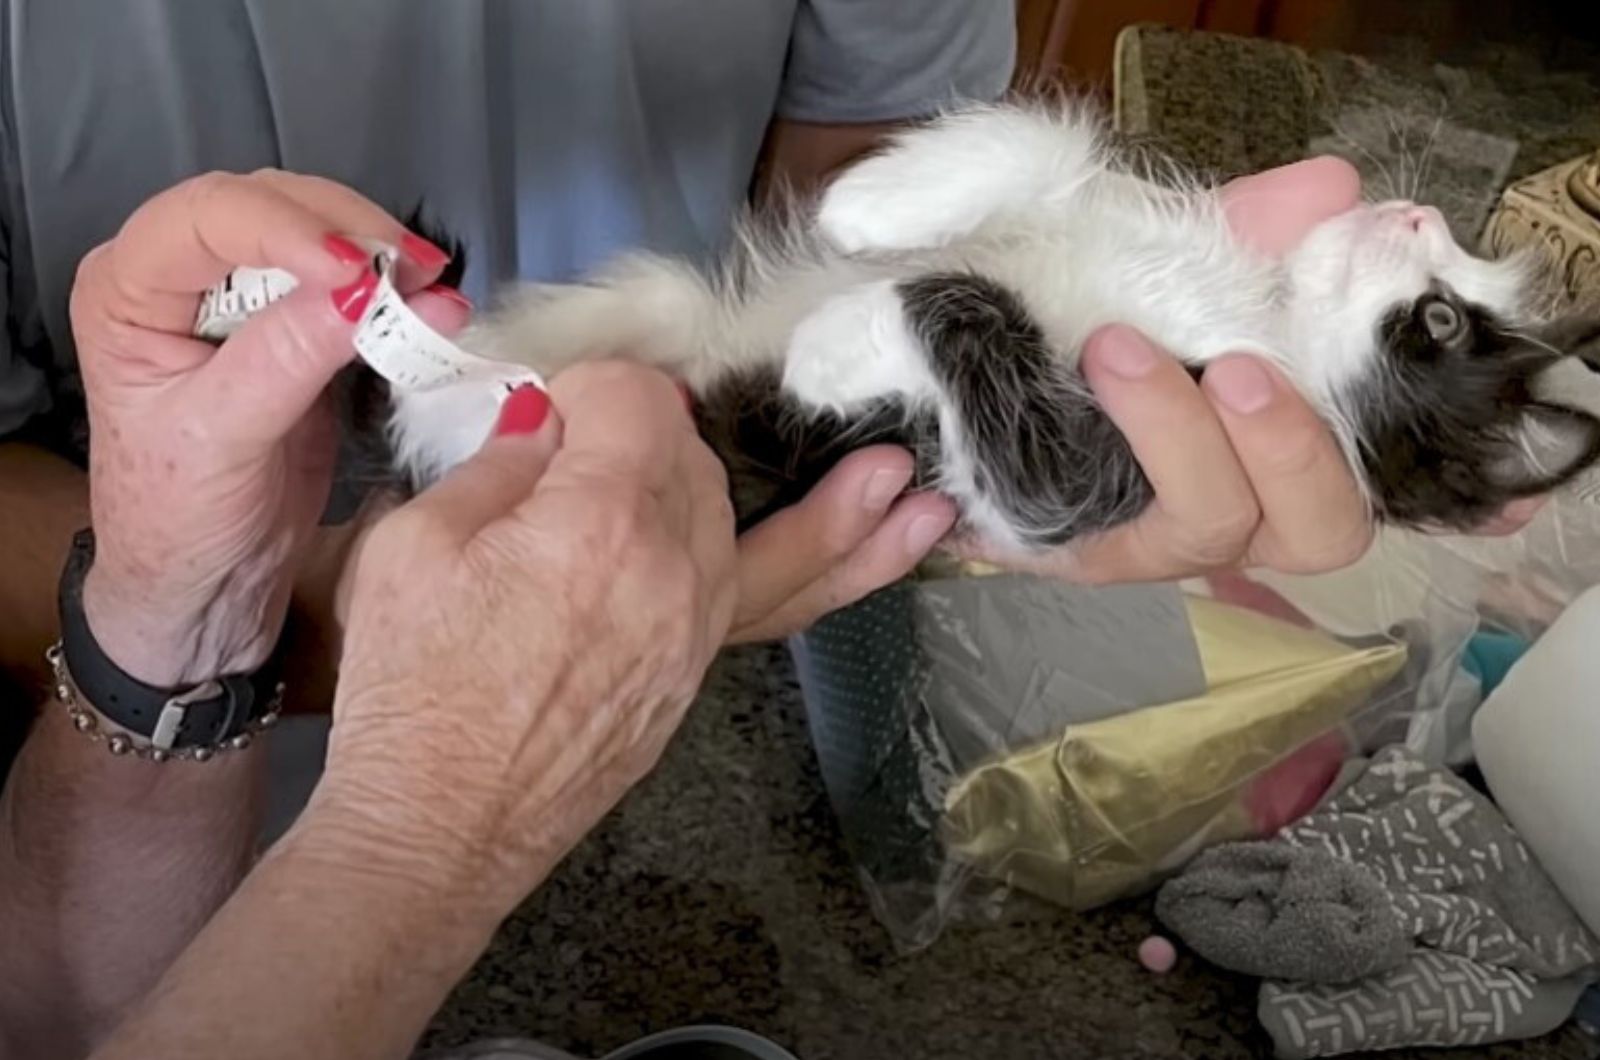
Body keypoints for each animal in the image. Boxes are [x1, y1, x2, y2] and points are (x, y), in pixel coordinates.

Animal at [377, 102, 1600, 550]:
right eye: (1449, 282)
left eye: (1442, 319)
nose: (1416, 211)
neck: (1256, 314)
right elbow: (1044, 148)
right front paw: (871, 206)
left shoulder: (1090, 471)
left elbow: (977, 323)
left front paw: (838, 338)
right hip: (663, 314)